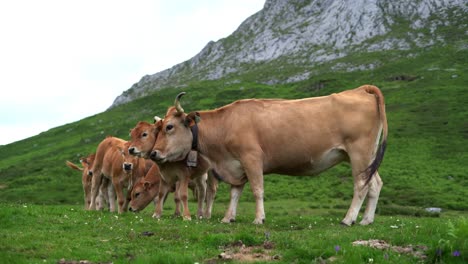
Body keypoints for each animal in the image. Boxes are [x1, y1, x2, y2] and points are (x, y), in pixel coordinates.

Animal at [151, 85, 388, 225]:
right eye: (159, 127)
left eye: (169, 127)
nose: (153, 153)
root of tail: (360, 90)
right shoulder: (236, 166)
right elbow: (235, 193)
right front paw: (228, 217)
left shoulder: (251, 159)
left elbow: (257, 190)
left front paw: (259, 218)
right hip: (366, 156)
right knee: (375, 184)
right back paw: (366, 220)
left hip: (359, 152)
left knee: (361, 185)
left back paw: (348, 219)